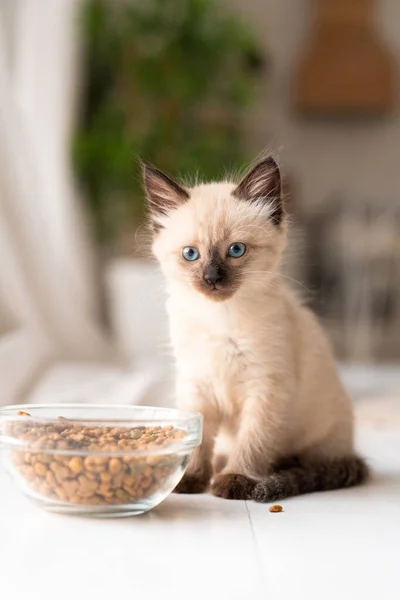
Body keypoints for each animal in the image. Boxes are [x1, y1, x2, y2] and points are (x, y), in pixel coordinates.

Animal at [141, 156, 368, 502]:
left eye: (236, 250)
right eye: (191, 254)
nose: (212, 278)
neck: (220, 317)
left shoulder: (266, 388)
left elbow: (253, 440)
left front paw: (235, 480)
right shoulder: (197, 386)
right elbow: (199, 439)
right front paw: (190, 478)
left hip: (320, 441)